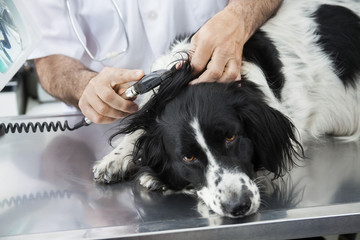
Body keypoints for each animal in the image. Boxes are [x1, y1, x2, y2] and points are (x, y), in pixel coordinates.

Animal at [93, 0, 360, 218]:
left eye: (231, 137)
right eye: (188, 157)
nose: (238, 206)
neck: (186, 79)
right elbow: (140, 128)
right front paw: (115, 159)